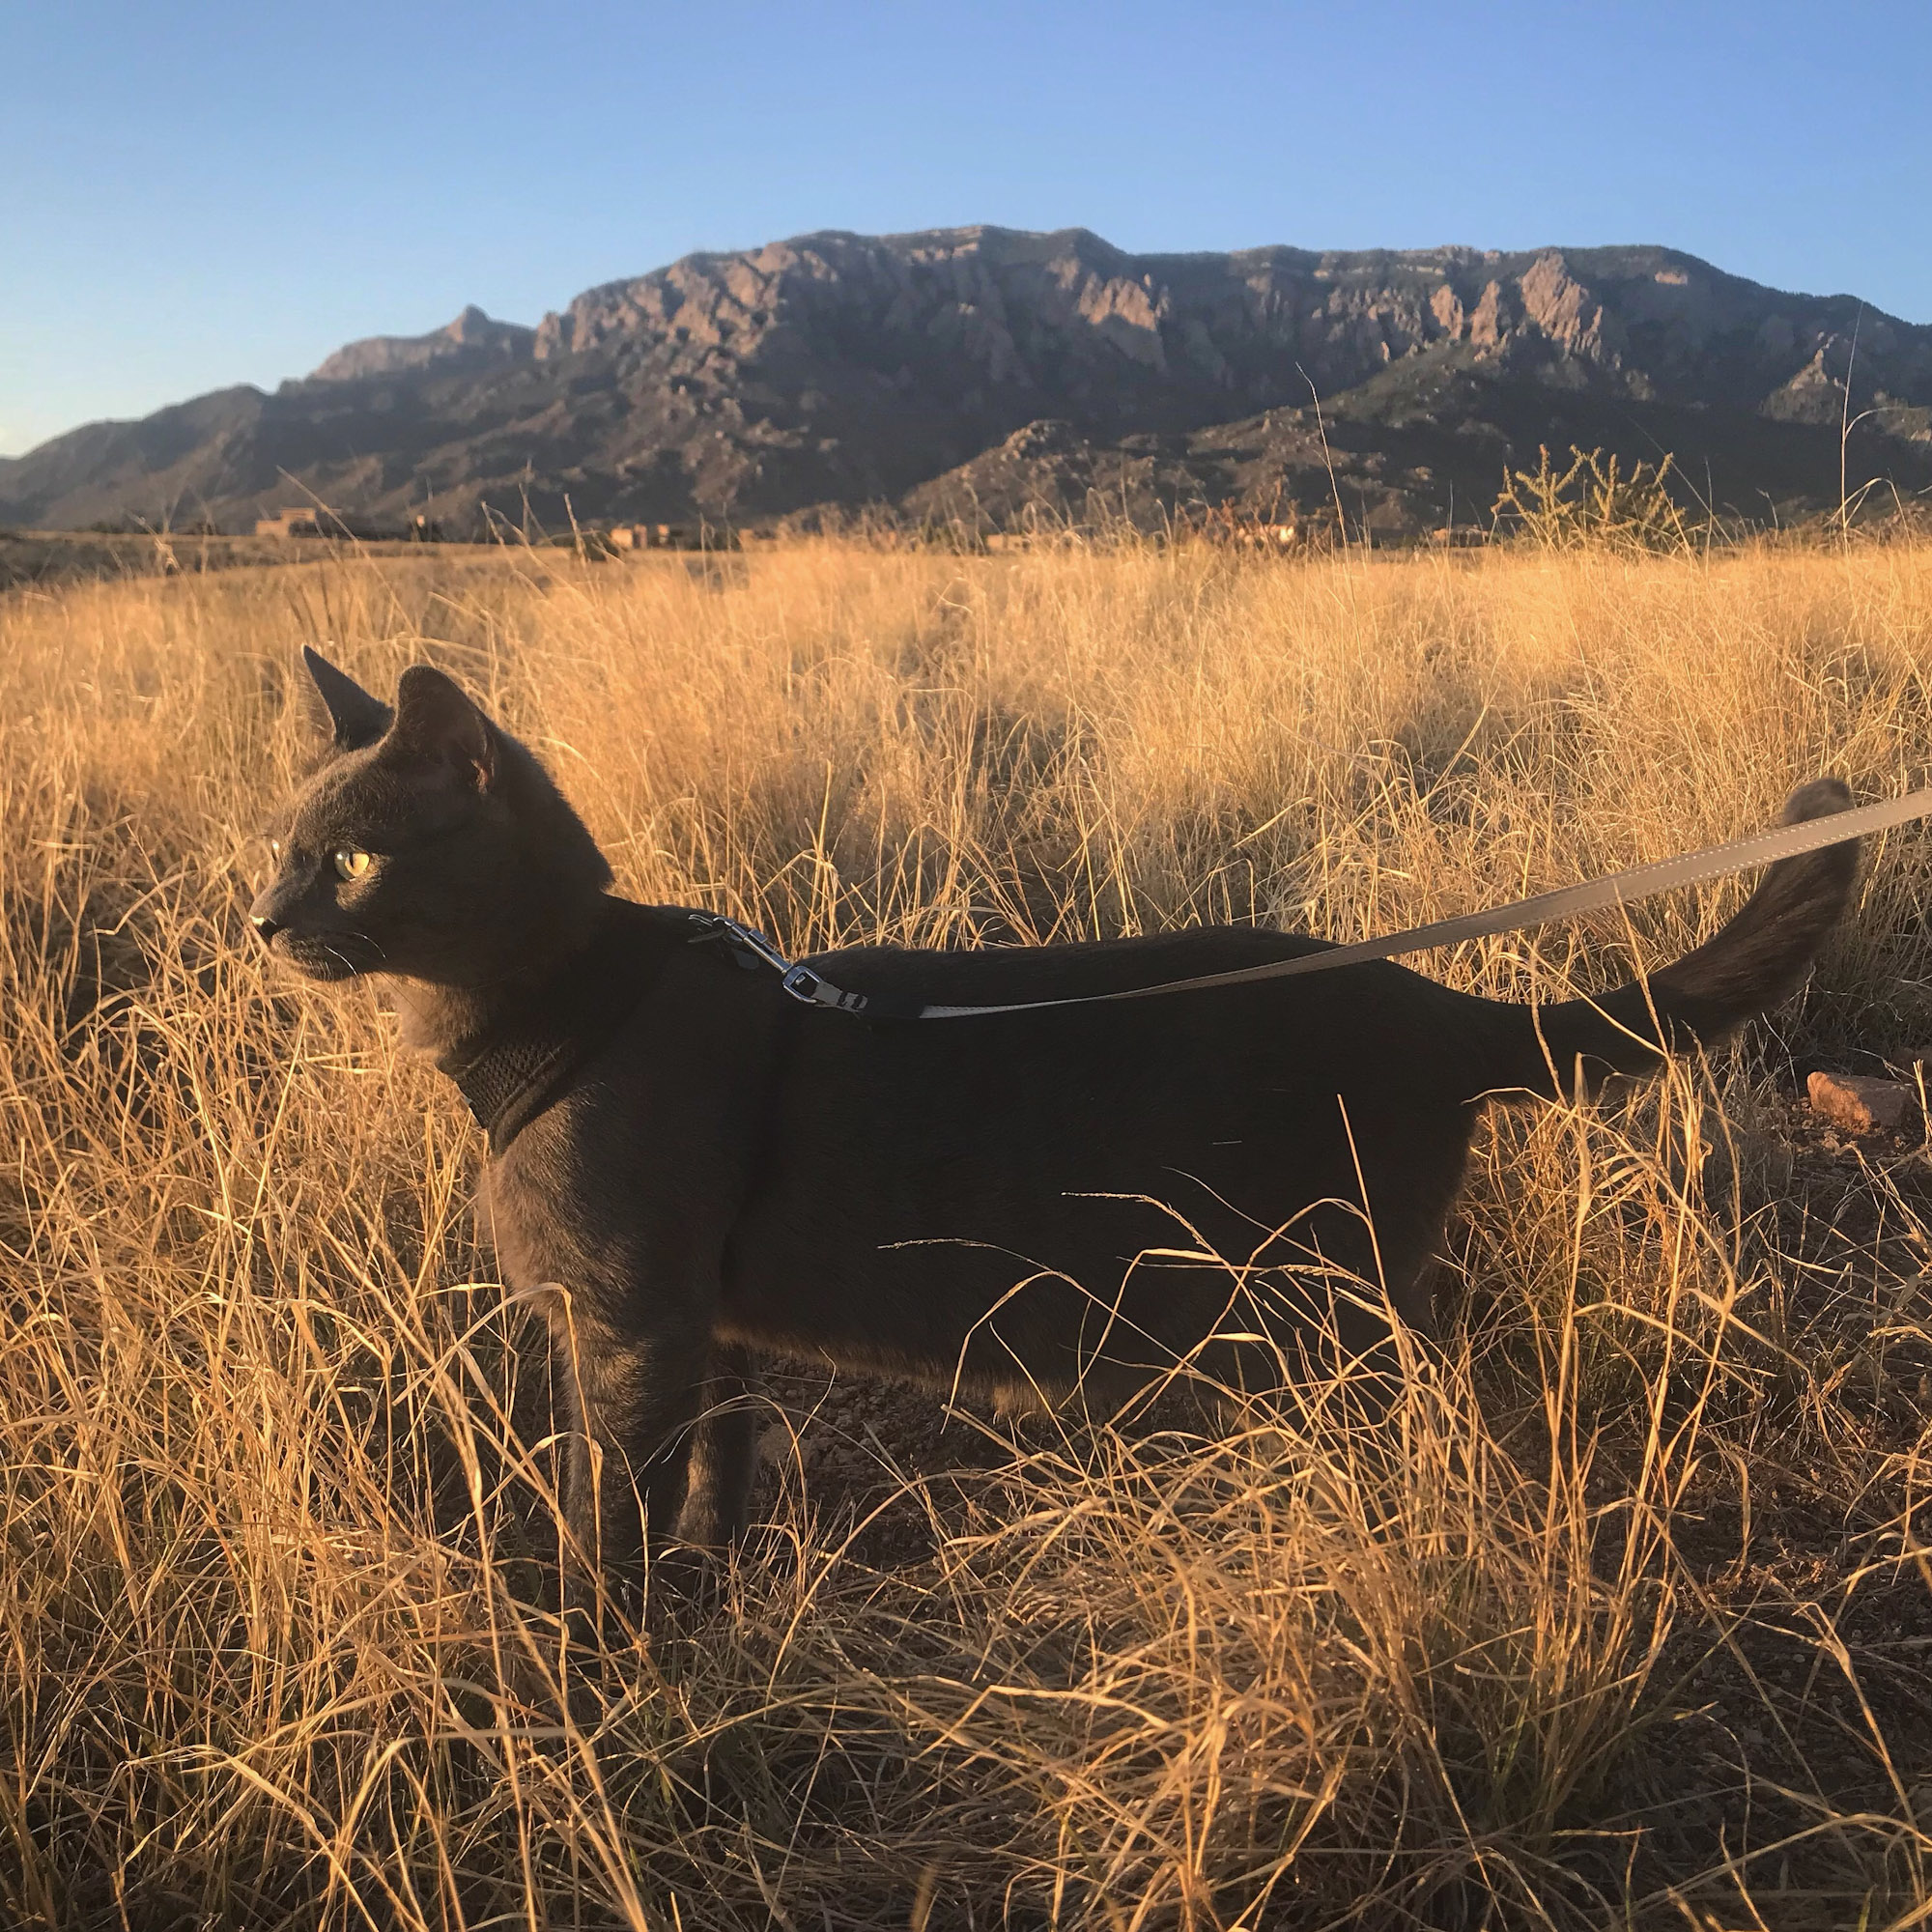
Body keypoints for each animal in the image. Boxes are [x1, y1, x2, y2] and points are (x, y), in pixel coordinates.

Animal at [253, 649, 1855, 1584]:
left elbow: (612, 1507)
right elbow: (719, 1461)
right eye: (280, 848)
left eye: (349, 860)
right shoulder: (705, 1325)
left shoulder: (630, 1324)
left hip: (1330, 1302)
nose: (260, 920)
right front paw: (713, 1576)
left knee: (1439, 1418)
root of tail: (1420, 997)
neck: (567, 1009)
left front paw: (605, 1646)